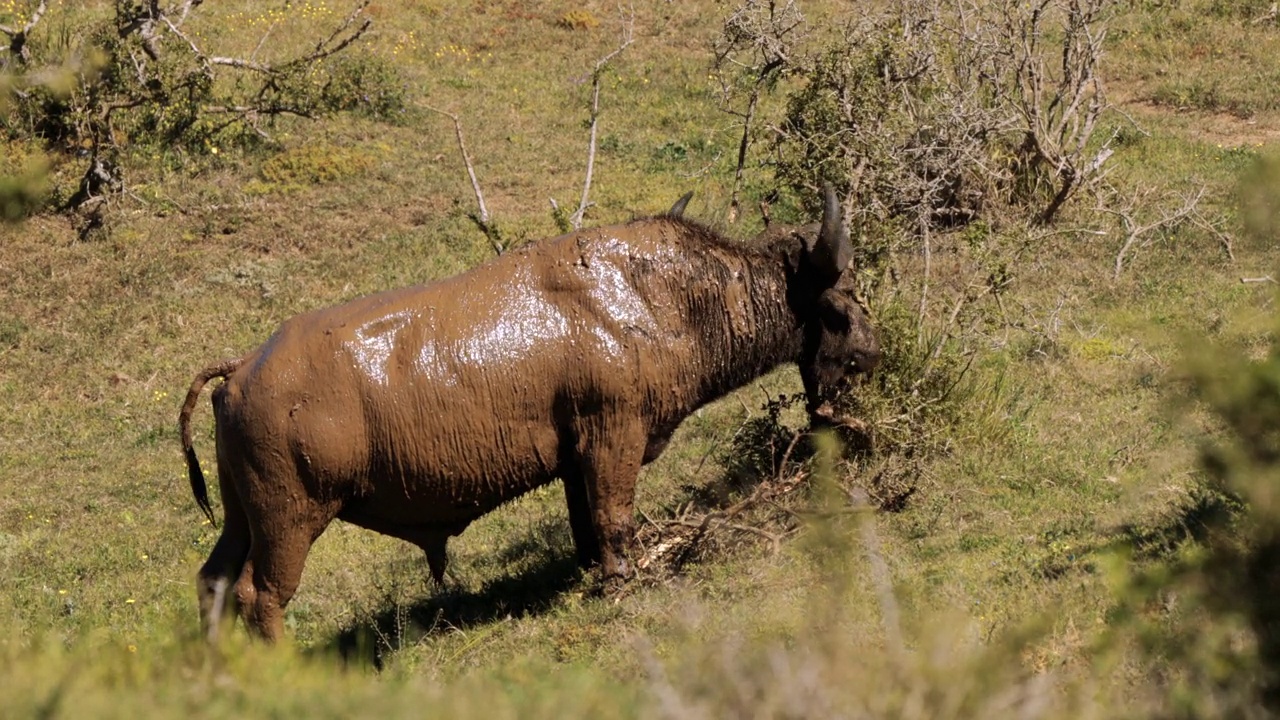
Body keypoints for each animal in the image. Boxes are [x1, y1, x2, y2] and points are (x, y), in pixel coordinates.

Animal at [180, 185, 880, 638]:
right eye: (840, 298)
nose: (871, 353)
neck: (655, 296)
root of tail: (241, 369)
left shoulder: (577, 457)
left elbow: (586, 524)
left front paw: (592, 575)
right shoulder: (613, 437)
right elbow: (614, 518)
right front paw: (623, 581)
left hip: (244, 516)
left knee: (215, 580)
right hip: (291, 519)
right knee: (261, 594)